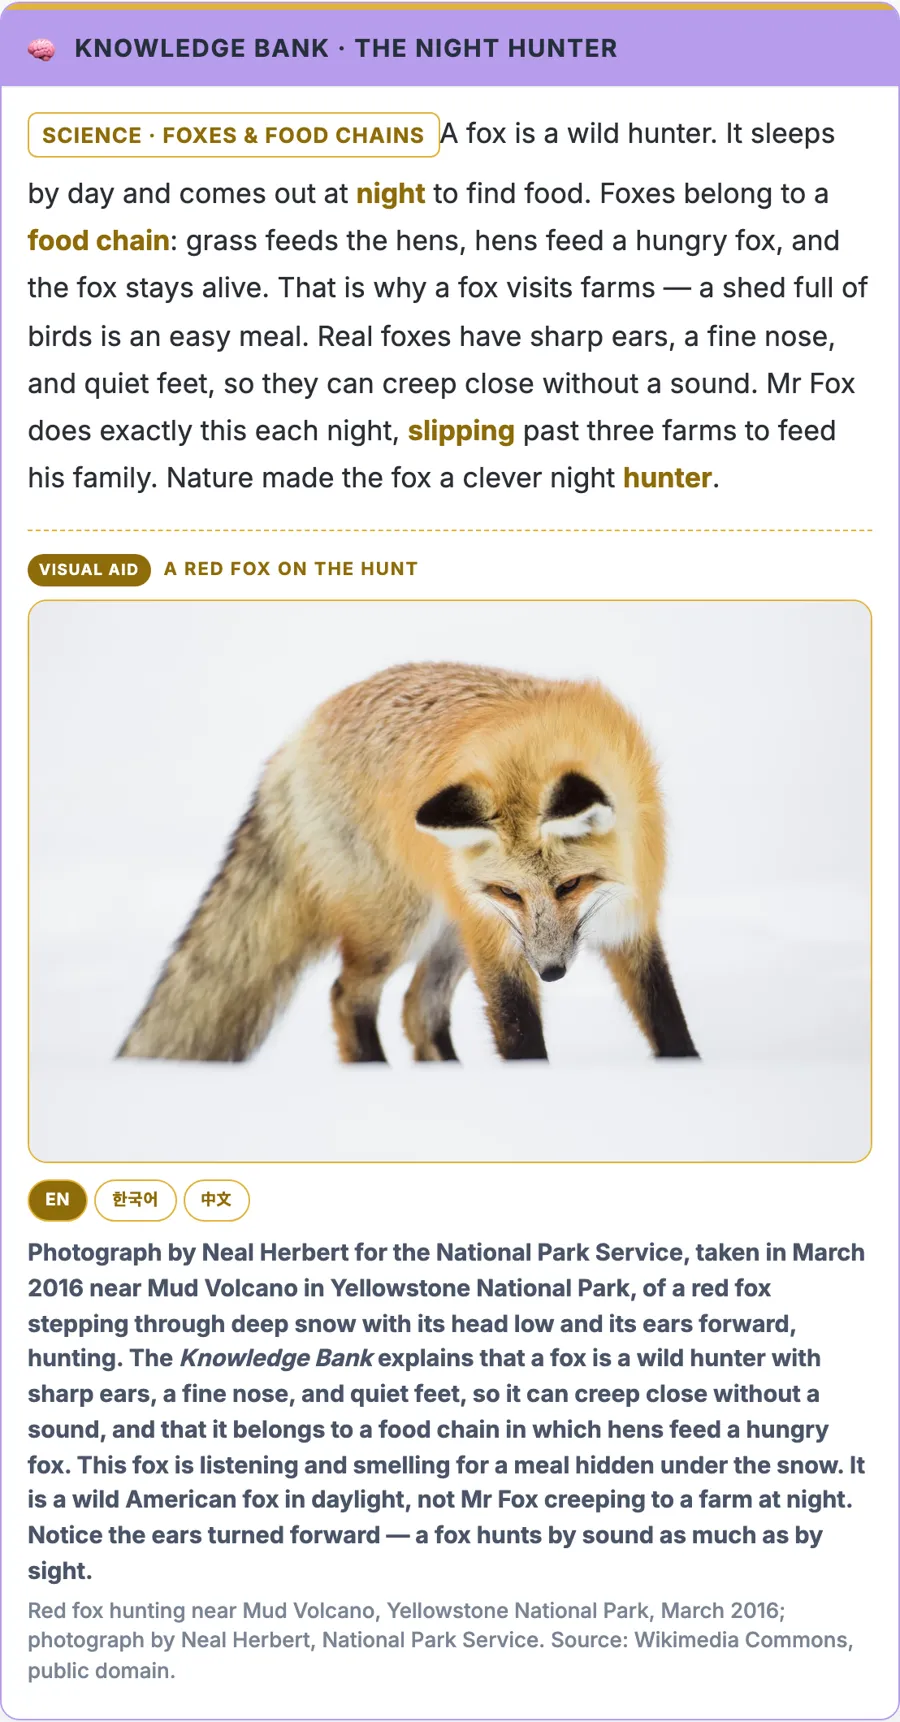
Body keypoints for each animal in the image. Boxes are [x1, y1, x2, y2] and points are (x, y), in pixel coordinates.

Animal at [118, 661, 698, 1066]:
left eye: (571, 885)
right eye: (510, 892)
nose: (551, 971)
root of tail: (294, 741)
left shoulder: (631, 923)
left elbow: (668, 1019)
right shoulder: (500, 941)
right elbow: (518, 1032)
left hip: (451, 931)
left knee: (418, 1011)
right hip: (399, 928)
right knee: (346, 997)